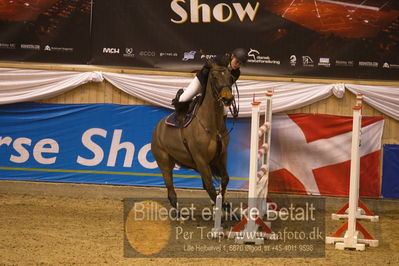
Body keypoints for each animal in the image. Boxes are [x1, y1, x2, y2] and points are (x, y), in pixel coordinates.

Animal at [152, 60, 236, 210]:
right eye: (214, 77)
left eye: (231, 78)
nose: (227, 99)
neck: (212, 125)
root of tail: (157, 128)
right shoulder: (200, 158)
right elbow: (210, 186)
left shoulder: (221, 156)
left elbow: (224, 179)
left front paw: (223, 204)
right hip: (164, 163)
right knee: (171, 191)